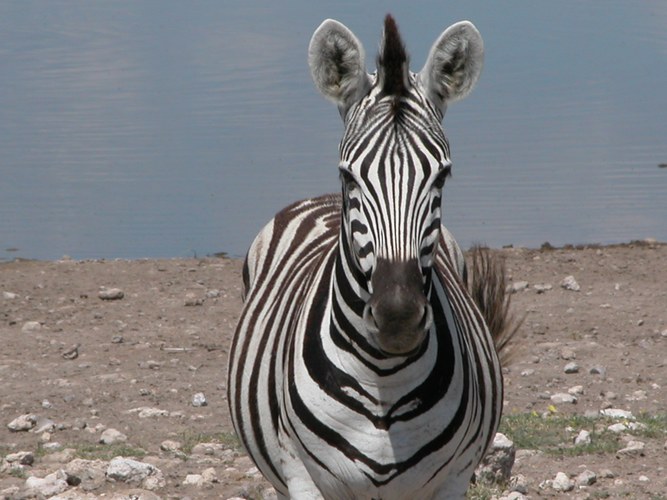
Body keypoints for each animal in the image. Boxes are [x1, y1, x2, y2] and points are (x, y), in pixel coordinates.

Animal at [228, 13, 516, 498]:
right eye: (349, 176)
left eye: (442, 176)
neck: (383, 375)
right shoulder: (301, 476)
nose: (398, 317)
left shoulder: (454, 478)